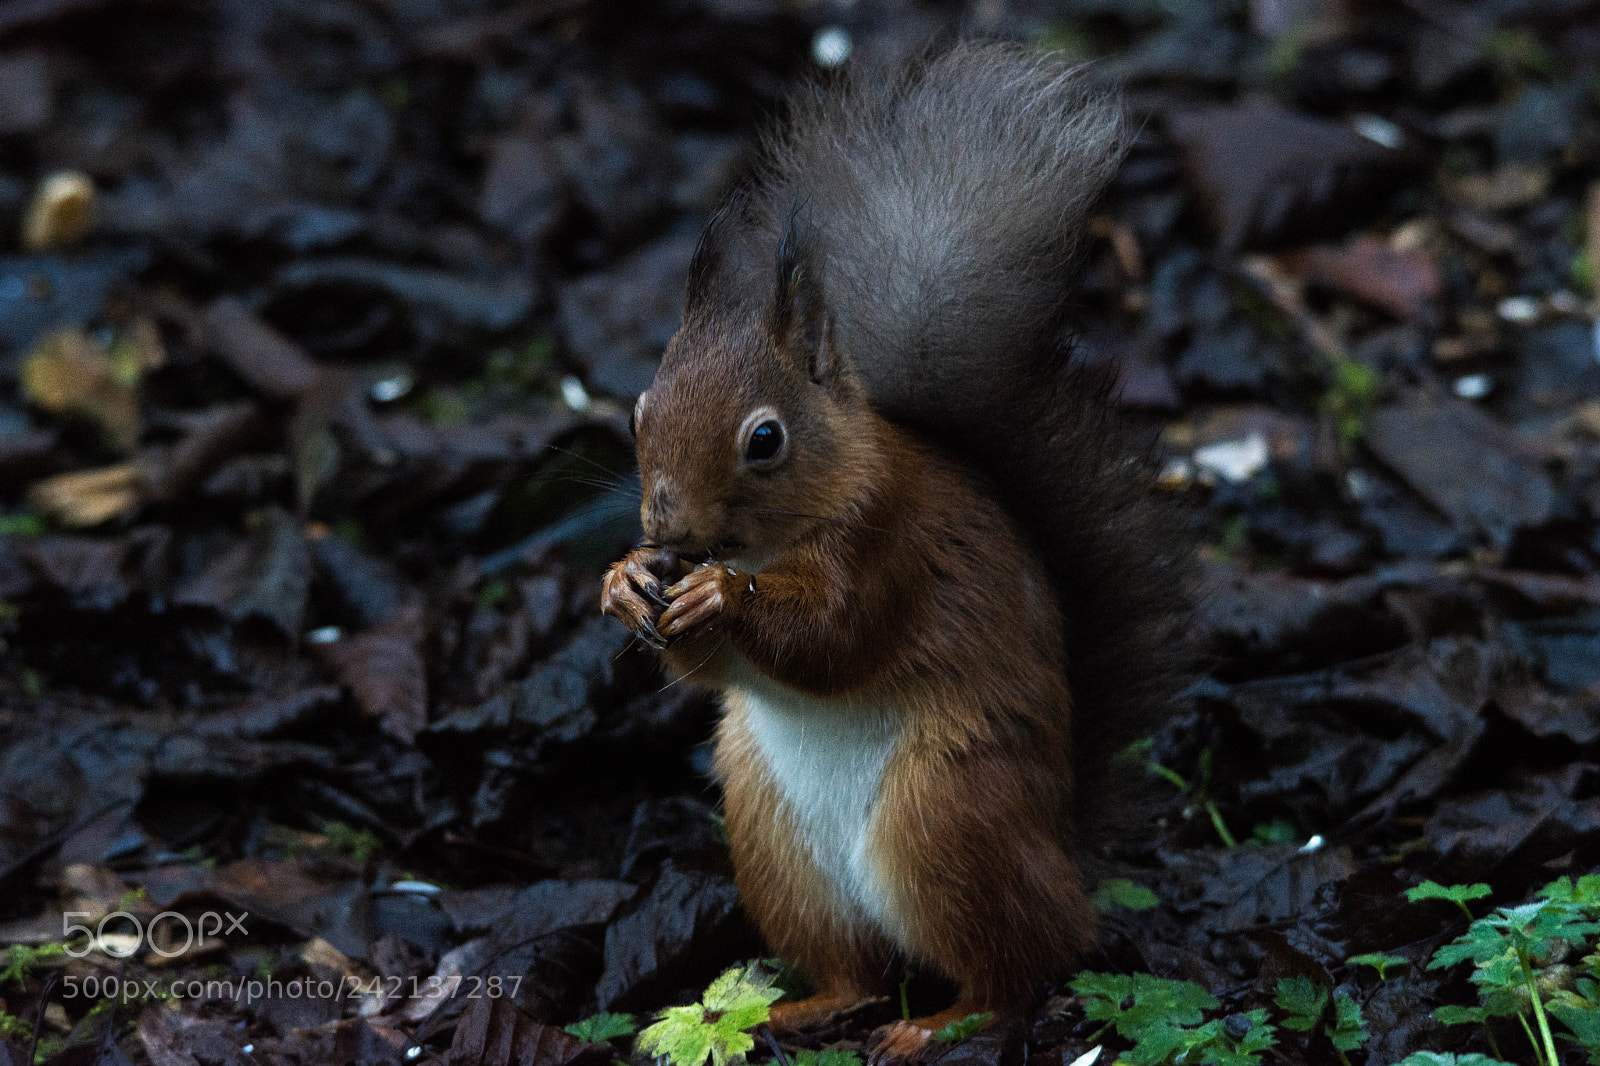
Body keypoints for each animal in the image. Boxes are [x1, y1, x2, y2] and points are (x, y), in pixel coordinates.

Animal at [601, 41, 1193, 1062]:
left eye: (765, 439)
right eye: (640, 410)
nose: (668, 530)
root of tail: (1064, 855)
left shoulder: (892, 549)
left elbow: (836, 640)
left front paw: (721, 597)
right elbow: (702, 672)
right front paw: (626, 579)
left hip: (948, 816)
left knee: (1017, 970)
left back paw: (940, 1024)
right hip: (777, 845)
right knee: (863, 973)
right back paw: (807, 1008)